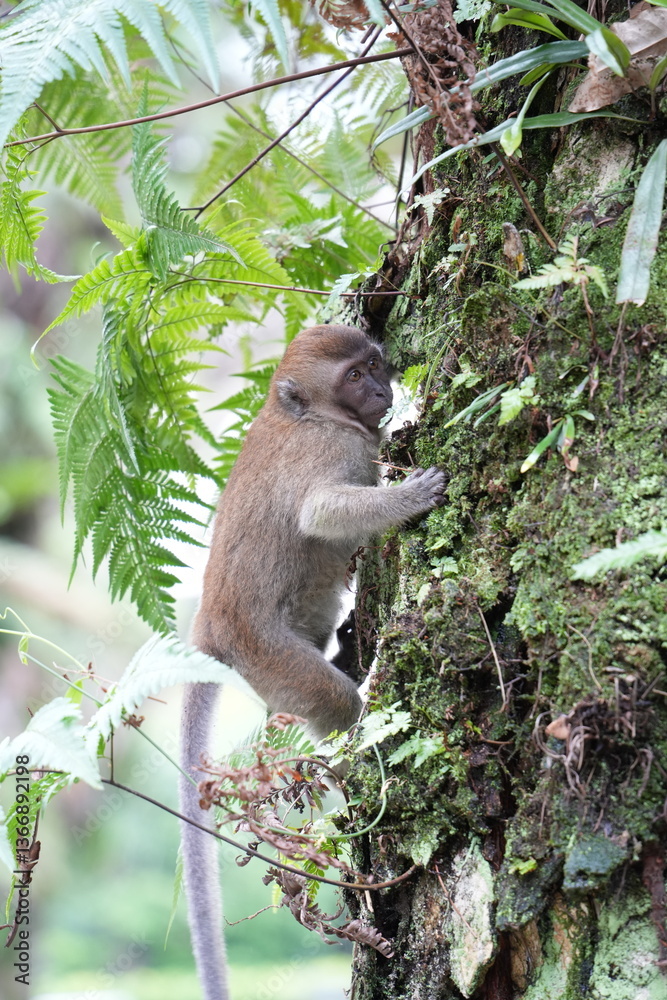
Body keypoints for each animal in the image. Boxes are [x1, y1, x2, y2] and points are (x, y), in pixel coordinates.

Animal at [180, 324, 445, 1000]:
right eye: (354, 376)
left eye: (374, 363)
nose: (380, 389)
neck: (311, 414)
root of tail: (209, 623)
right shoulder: (332, 449)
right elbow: (322, 511)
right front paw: (412, 493)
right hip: (264, 653)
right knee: (333, 704)